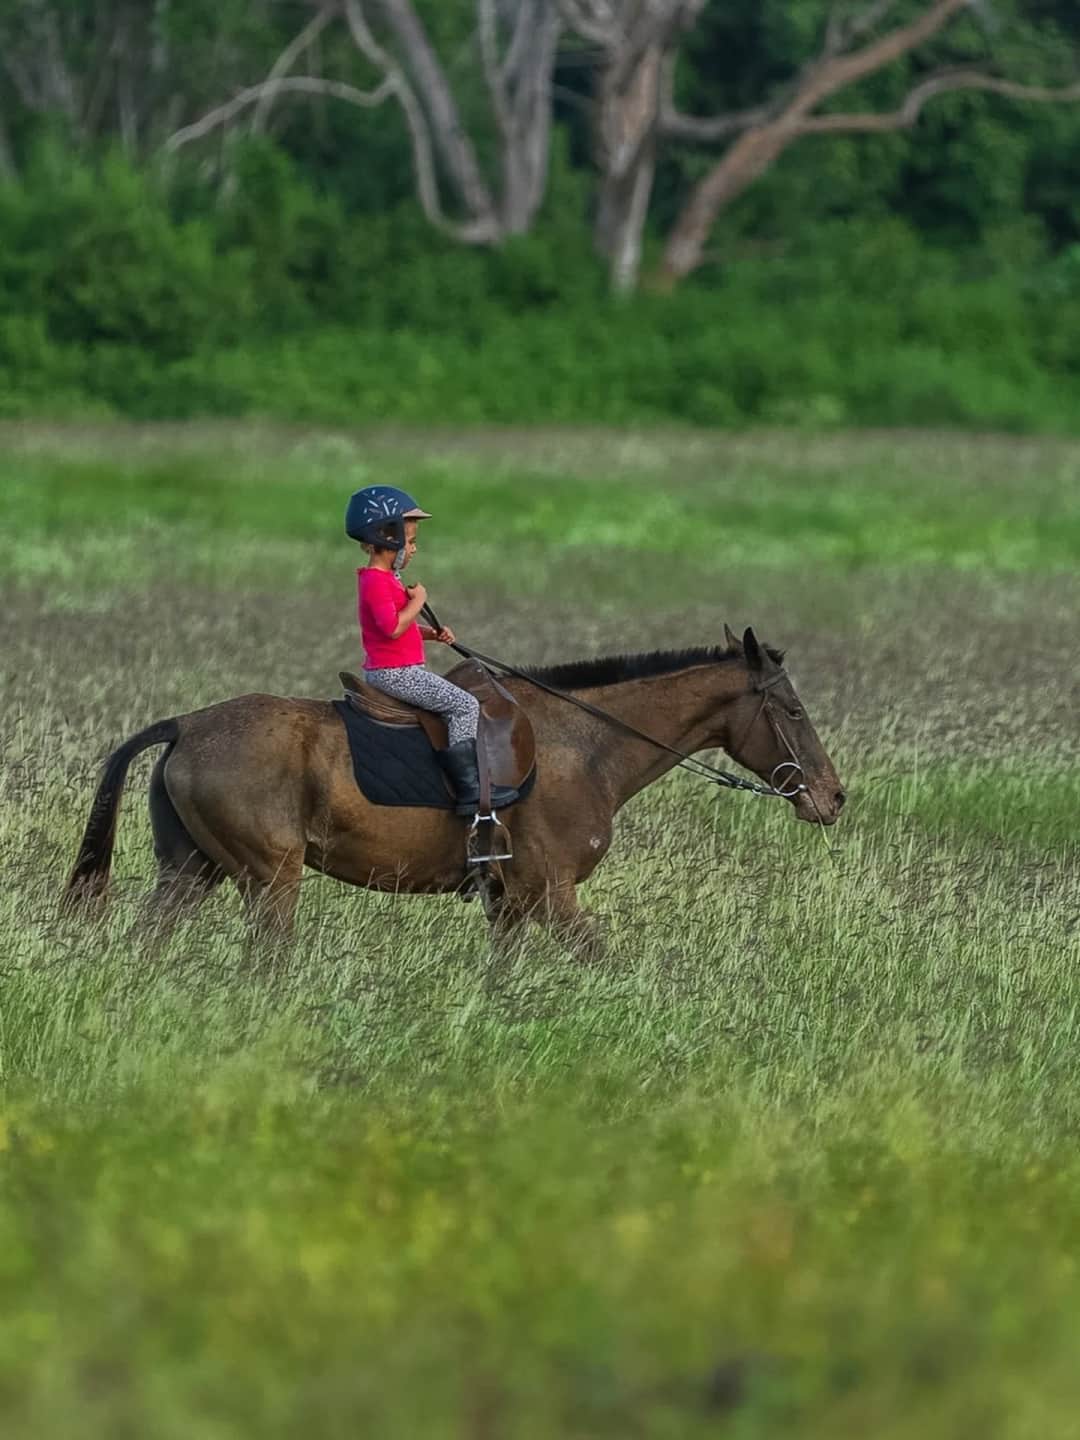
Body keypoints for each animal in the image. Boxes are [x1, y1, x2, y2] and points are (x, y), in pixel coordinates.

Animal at [64, 626, 845, 959]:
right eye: (793, 711)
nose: (833, 797)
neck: (585, 744)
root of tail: (186, 725)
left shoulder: (510, 903)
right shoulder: (553, 895)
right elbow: (603, 958)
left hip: (191, 872)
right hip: (267, 879)